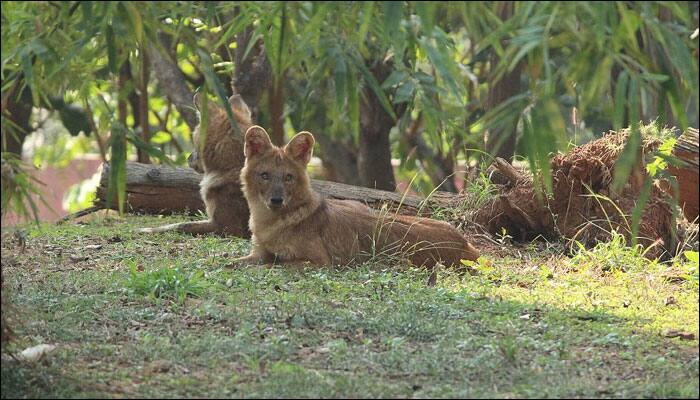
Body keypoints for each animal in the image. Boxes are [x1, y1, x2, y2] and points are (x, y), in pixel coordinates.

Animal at [232, 126, 478, 268]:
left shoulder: (319, 261)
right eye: (265, 175)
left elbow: (275, 264)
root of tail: (464, 242)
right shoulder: (258, 252)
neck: (269, 222)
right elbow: (233, 261)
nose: (276, 200)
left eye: (288, 177)